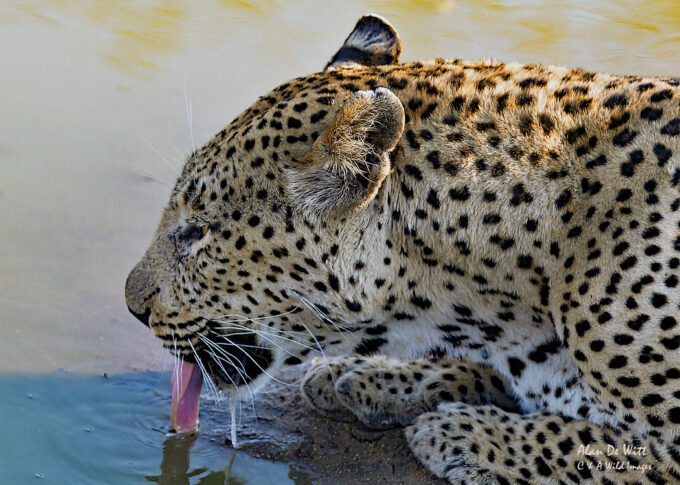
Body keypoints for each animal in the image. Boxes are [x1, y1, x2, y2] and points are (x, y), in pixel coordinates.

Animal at [126, 14, 680, 484]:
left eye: (197, 232)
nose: (134, 307)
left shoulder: (663, 448)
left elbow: (600, 448)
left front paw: (465, 434)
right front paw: (373, 377)